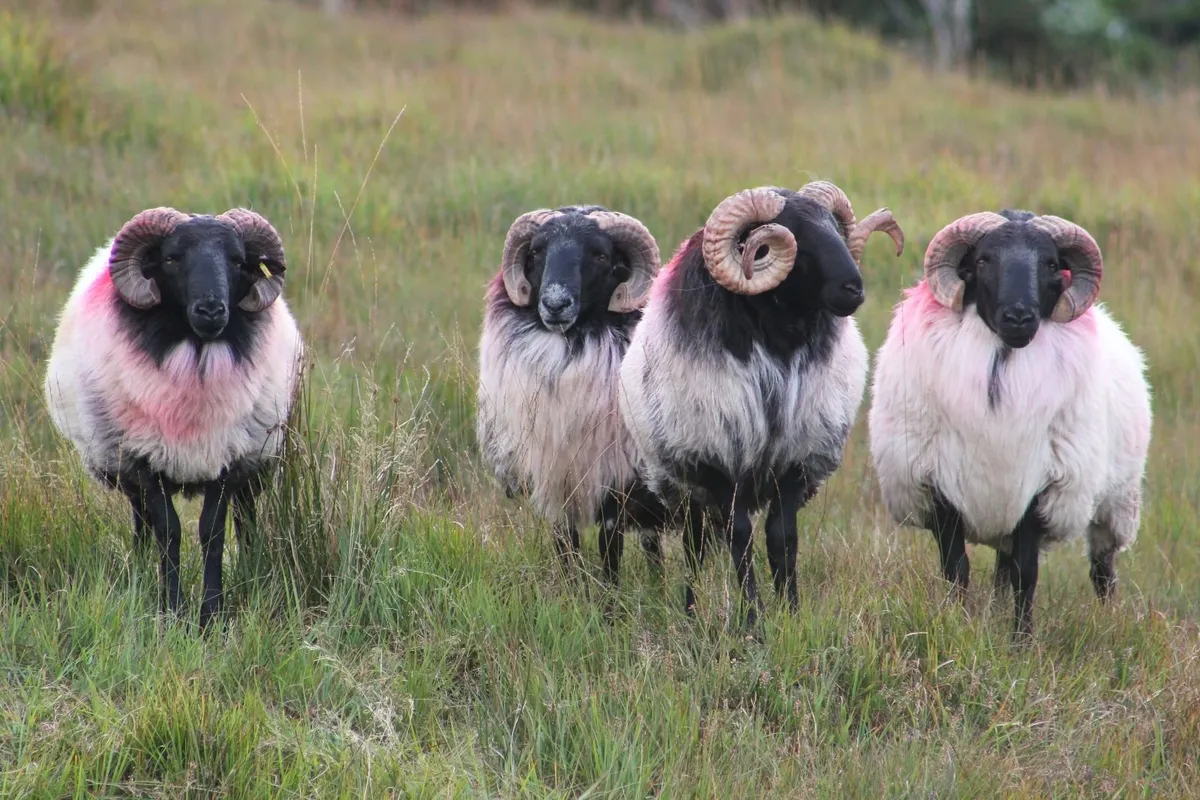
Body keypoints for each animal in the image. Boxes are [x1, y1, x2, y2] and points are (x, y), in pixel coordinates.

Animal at [43, 207, 304, 630]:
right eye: (172, 258)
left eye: (238, 261)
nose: (212, 310)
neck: (195, 357)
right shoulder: (147, 461)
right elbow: (169, 531)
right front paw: (173, 610)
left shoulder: (226, 459)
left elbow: (212, 533)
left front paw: (211, 615)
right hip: (124, 462)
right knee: (142, 521)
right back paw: (140, 567)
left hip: (256, 460)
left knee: (245, 516)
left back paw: (251, 566)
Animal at [475, 204, 672, 586]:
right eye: (537, 251)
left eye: (600, 255)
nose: (555, 304)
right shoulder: (556, 482)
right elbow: (566, 546)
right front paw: (571, 592)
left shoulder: (614, 482)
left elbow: (610, 550)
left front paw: (609, 599)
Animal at [617, 181, 905, 625]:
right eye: (789, 238)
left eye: (834, 227)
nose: (853, 289)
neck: (778, 346)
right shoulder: (719, 464)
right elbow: (740, 539)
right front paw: (753, 620)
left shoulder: (794, 460)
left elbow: (781, 538)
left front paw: (790, 613)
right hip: (686, 482)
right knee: (695, 547)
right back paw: (690, 609)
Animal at [866, 209, 1152, 638]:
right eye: (984, 260)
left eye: (1050, 264)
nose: (1019, 317)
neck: (1000, 365)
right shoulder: (937, 486)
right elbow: (956, 569)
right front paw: (957, 624)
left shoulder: (1039, 491)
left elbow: (1026, 574)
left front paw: (1021, 640)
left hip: (1115, 503)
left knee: (1103, 570)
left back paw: (1107, 618)